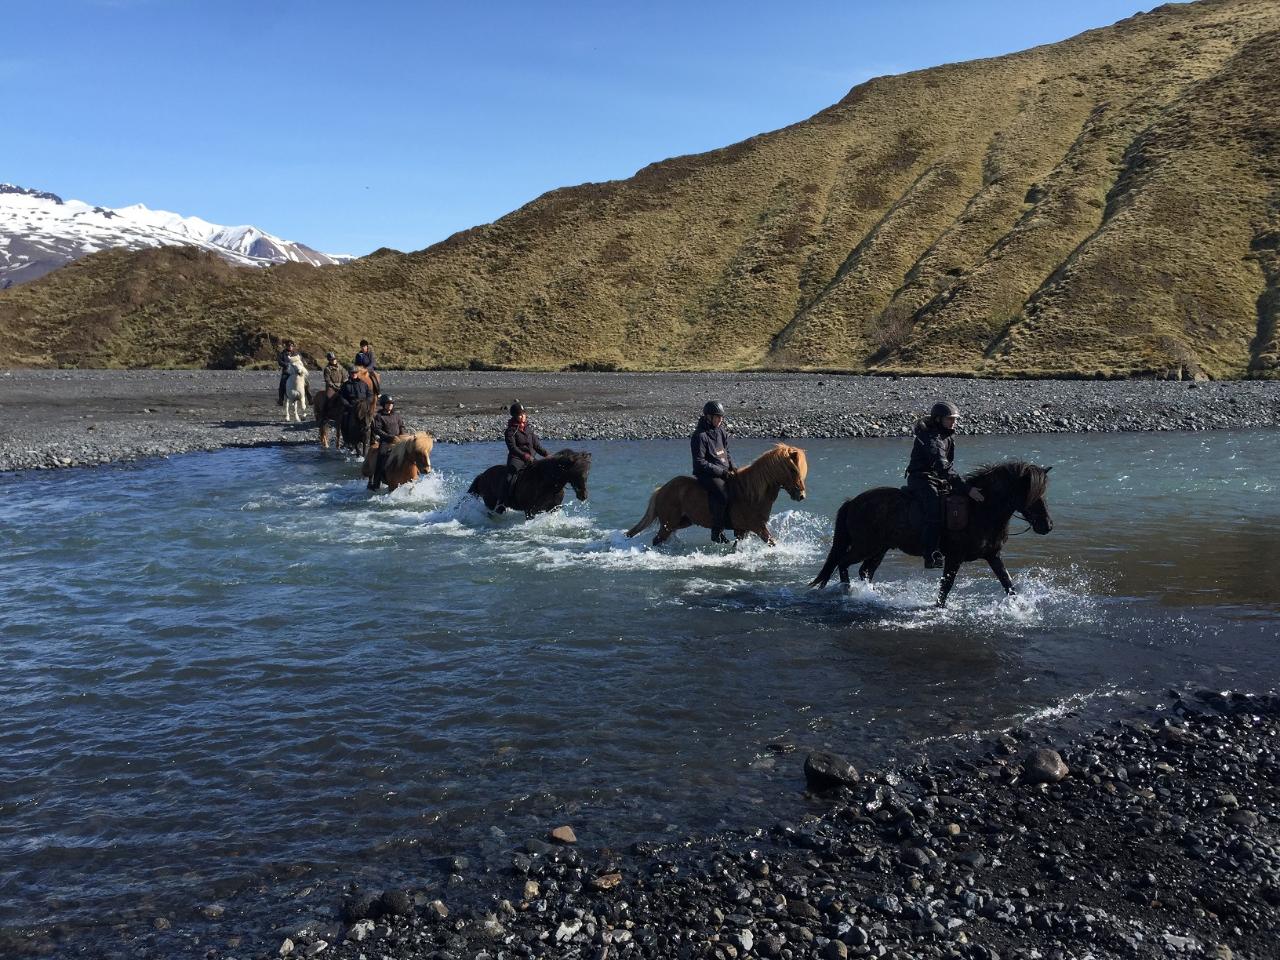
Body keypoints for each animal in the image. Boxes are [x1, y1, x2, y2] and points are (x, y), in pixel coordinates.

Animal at [624, 445, 803, 547]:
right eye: (793, 470)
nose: (801, 495)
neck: (752, 493)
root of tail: (661, 489)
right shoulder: (758, 527)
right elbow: (772, 543)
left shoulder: (743, 530)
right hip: (669, 524)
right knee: (657, 540)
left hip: (682, 522)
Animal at [808, 460, 1049, 609]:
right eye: (1031, 494)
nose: (1047, 526)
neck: (980, 509)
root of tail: (853, 502)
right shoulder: (954, 557)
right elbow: (946, 586)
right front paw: (938, 608)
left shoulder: (993, 555)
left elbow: (1008, 584)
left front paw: (1020, 607)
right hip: (865, 546)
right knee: (843, 562)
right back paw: (847, 592)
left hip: (879, 549)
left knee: (865, 570)